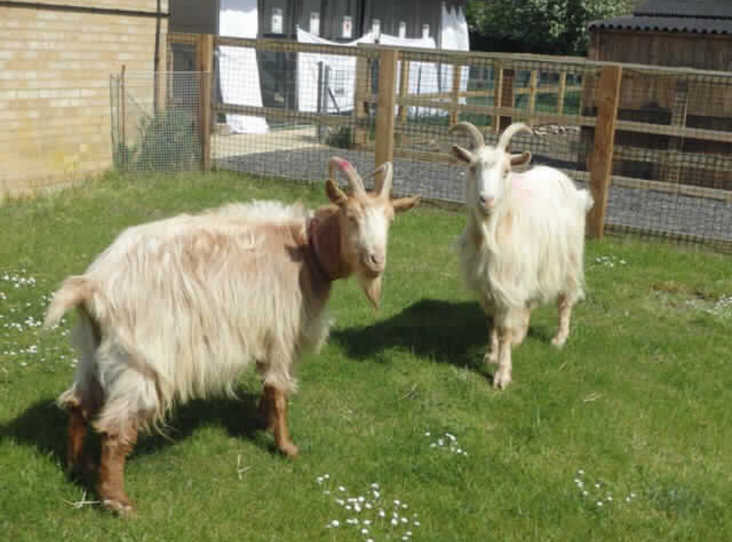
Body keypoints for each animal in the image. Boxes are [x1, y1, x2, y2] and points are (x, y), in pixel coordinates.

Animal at [44, 158, 420, 514]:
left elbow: (267, 388)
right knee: (114, 429)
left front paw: (260, 420)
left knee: (78, 404)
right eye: (351, 216)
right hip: (141, 361)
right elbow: (280, 392)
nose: (375, 261)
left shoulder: (262, 335)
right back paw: (118, 503)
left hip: (92, 349)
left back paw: (79, 466)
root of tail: (92, 284)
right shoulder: (283, 334)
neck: (306, 248)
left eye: (390, 220)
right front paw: (286, 446)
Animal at [450, 121, 593, 389]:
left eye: (506, 171)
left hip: (568, 259)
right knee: (529, 302)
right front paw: (492, 354)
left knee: (565, 299)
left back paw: (559, 338)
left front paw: (502, 375)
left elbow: (504, 328)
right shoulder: (486, 284)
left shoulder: (509, 282)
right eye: (472, 167)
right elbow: (491, 321)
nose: (487, 199)